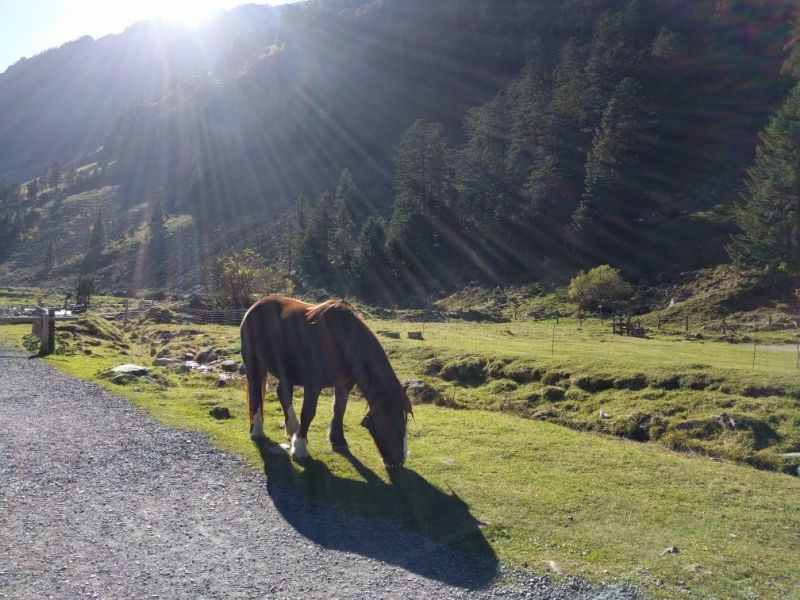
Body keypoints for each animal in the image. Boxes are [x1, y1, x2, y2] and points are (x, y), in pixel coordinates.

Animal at [239, 296, 412, 468]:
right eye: (394, 423)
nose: (399, 460)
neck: (340, 341)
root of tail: (255, 306)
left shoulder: (345, 383)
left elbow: (339, 410)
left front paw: (338, 441)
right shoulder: (313, 385)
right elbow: (308, 413)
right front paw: (300, 448)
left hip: (285, 370)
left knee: (282, 394)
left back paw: (293, 429)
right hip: (255, 365)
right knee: (256, 394)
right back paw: (258, 432)